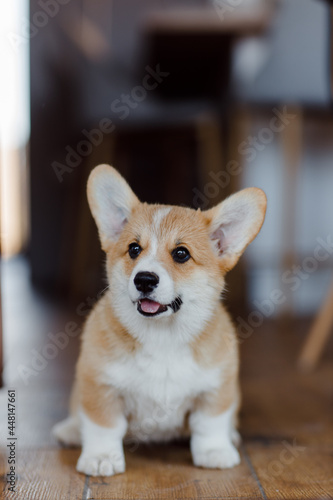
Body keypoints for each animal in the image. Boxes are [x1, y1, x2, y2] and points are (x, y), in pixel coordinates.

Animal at [53, 164, 266, 476]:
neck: (163, 336)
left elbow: (209, 424)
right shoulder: (99, 385)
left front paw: (214, 451)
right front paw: (102, 457)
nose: (144, 279)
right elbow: (103, 426)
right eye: (133, 249)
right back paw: (70, 430)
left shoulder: (216, 389)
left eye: (181, 254)